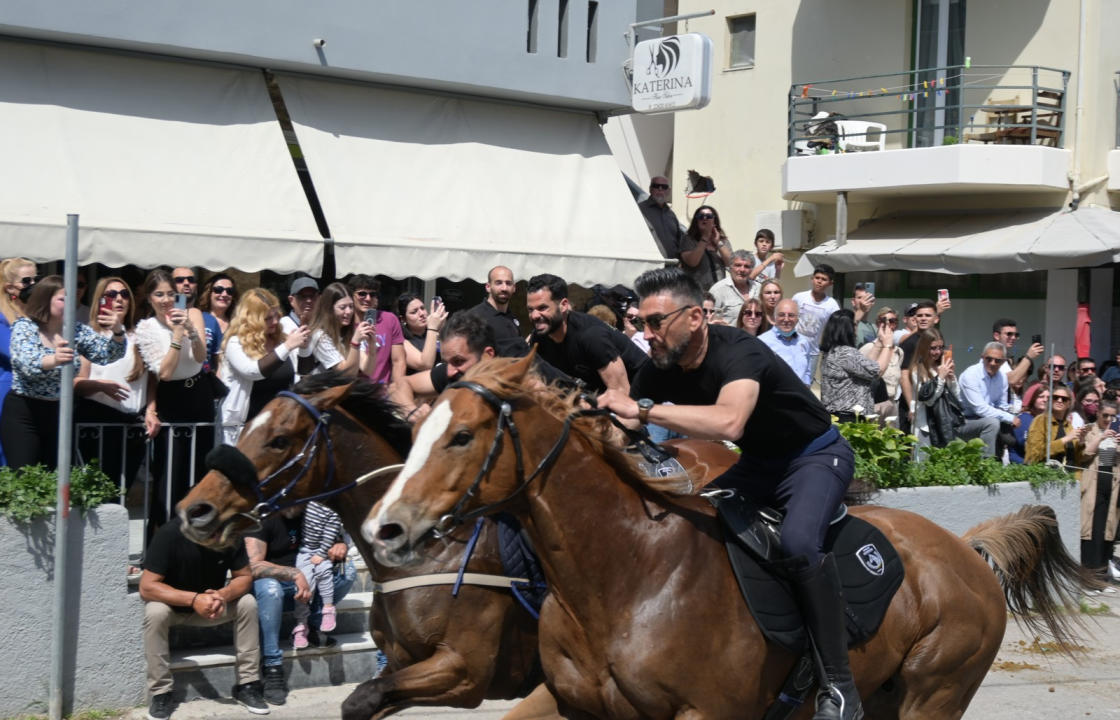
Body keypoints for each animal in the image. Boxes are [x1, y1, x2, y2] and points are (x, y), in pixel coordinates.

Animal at [367, 353, 1093, 720]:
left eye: (462, 436)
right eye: (418, 426)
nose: (385, 527)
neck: (621, 577)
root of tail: (966, 554)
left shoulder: (703, 715)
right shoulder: (572, 706)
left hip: (934, 694)